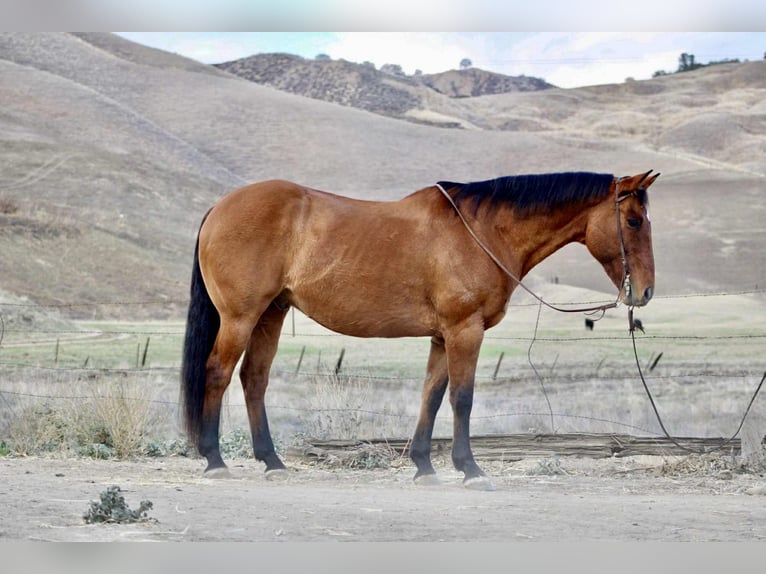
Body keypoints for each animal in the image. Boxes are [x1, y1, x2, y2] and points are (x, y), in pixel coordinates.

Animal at [181, 170, 659, 490]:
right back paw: (215, 460)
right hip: (241, 317)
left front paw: (424, 466)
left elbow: (431, 393)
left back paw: (272, 461)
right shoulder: (465, 330)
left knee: (254, 379)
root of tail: (219, 208)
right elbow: (461, 398)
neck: (482, 231)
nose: (645, 291)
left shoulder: (442, 336)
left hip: (272, 314)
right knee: (218, 373)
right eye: (634, 221)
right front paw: (470, 469)